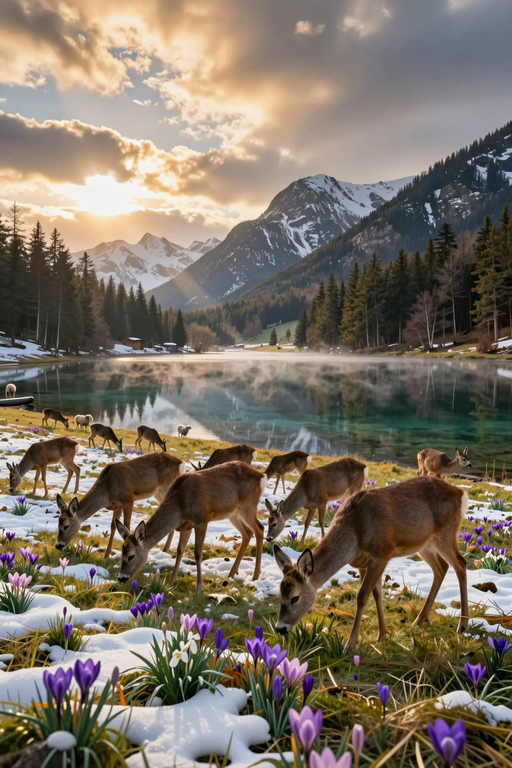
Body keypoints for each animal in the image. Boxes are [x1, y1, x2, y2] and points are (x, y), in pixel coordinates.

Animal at [55, 452, 185, 557]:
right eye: (58, 523)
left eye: (66, 526)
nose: (58, 545)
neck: (107, 492)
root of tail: (181, 464)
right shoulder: (117, 505)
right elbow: (113, 527)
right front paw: (106, 555)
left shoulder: (128, 499)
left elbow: (126, 525)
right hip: (158, 493)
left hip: (166, 488)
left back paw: (165, 549)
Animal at [114, 461, 268, 593]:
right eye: (121, 553)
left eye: (131, 556)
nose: (121, 578)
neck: (179, 505)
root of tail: (262, 477)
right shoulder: (186, 526)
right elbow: (179, 551)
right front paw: (170, 583)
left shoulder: (202, 519)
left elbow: (197, 553)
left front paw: (199, 588)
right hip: (233, 513)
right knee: (247, 533)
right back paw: (232, 572)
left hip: (248, 505)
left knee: (259, 529)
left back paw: (255, 575)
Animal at [274, 476, 469, 649]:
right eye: (280, 595)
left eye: (295, 597)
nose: (280, 628)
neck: (355, 535)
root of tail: (461, 493)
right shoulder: (363, 562)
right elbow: (376, 594)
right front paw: (382, 634)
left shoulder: (382, 554)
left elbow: (362, 597)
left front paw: (350, 644)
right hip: (424, 543)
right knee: (441, 568)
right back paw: (420, 620)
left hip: (446, 532)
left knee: (461, 563)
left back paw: (462, 625)